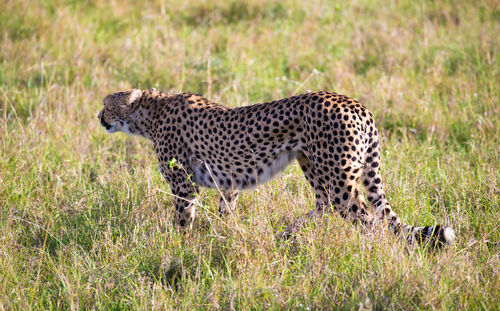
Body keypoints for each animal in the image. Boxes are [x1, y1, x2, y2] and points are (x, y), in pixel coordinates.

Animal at [98, 89, 458, 247]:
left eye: (106, 105)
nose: (99, 118)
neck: (152, 112)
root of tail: (357, 104)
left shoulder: (184, 184)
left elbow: (184, 218)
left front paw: (180, 246)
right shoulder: (228, 181)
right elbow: (225, 211)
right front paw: (223, 235)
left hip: (338, 178)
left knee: (368, 220)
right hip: (312, 163)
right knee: (324, 204)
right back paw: (285, 233)